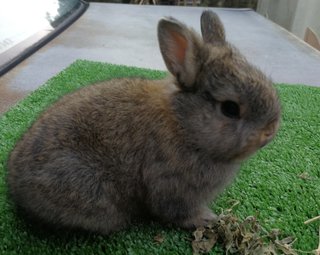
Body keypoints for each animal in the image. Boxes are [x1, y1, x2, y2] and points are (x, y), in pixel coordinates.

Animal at [6, 10, 278, 234]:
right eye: (230, 109)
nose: (270, 132)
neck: (185, 125)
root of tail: (16, 187)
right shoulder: (171, 186)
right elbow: (175, 212)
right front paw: (207, 219)